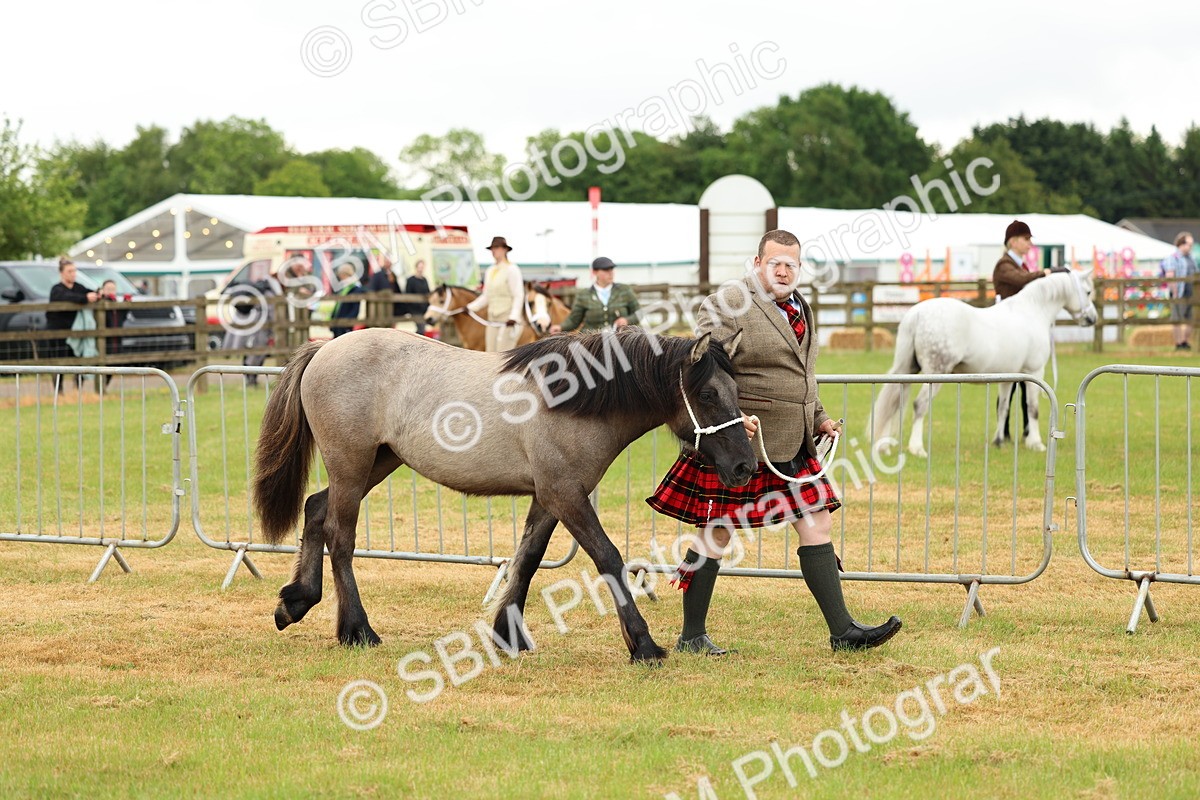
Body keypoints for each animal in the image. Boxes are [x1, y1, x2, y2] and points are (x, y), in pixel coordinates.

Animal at [251, 328, 756, 661]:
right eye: (708, 395)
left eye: (736, 388)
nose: (744, 466)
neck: (572, 400)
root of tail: (326, 347)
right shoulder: (565, 495)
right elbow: (608, 558)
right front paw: (644, 645)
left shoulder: (549, 498)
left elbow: (527, 559)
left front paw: (507, 636)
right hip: (352, 465)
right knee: (340, 536)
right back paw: (358, 630)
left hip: (378, 462)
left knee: (316, 510)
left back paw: (296, 601)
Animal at [868, 269, 1097, 458]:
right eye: (1087, 292)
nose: (1092, 319)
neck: (1032, 311)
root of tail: (916, 314)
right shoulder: (1035, 371)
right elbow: (1032, 408)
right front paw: (1036, 443)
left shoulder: (1009, 377)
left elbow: (1003, 408)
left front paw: (998, 441)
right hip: (936, 372)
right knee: (919, 404)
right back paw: (917, 448)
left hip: (908, 369)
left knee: (896, 402)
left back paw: (884, 446)